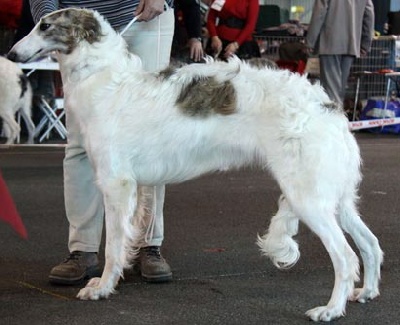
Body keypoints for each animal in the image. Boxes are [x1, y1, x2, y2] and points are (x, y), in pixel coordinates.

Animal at [8, 8, 384, 320]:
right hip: (335, 198)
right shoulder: (135, 186)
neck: (104, 78)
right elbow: (128, 237)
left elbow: (114, 246)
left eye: (45, 26)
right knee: (370, 244)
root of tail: (329, 106)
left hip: (309, 199)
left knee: (346, 257)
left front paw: (102, 287)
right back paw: (366, 292)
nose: (11, 55)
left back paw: (331, 309)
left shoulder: (116, 184)